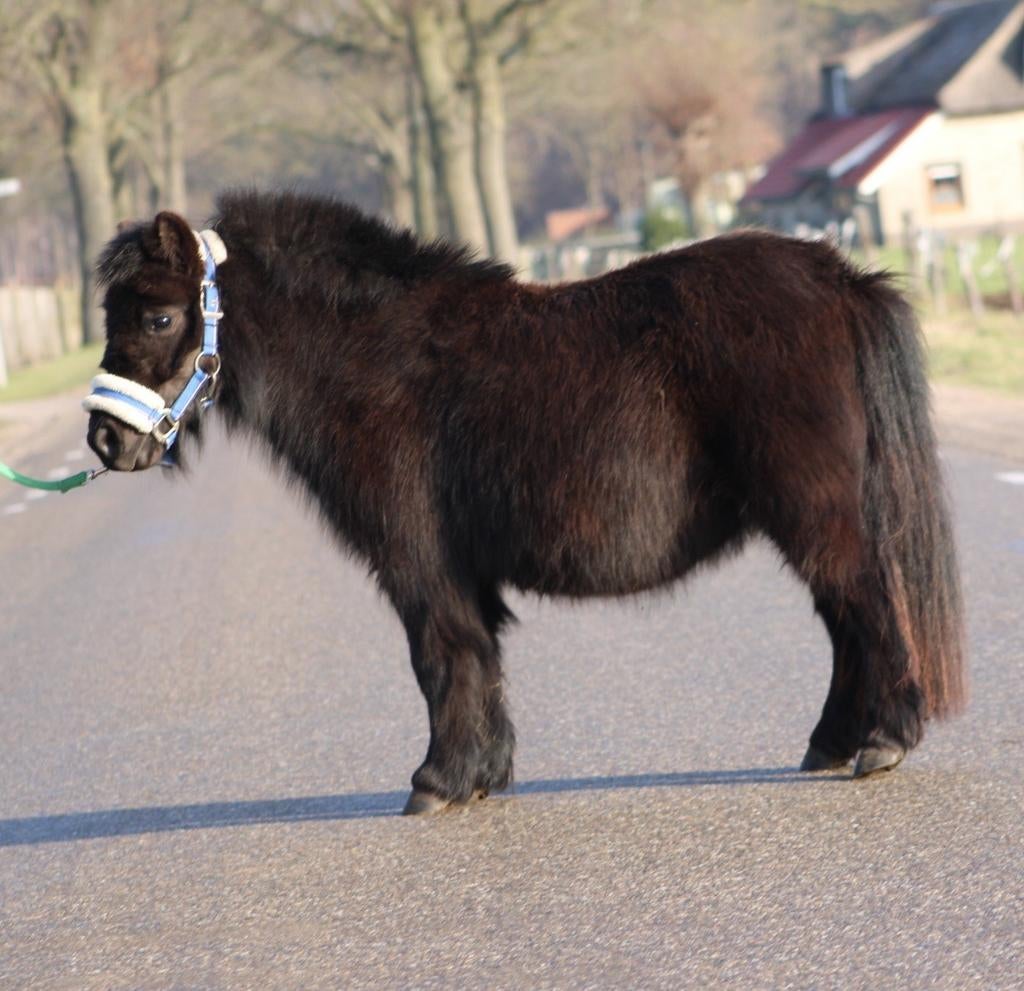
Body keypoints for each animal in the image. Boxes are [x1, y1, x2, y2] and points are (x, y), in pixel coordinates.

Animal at [86, 190, 965, 815]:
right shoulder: (457, 571)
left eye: (158, 314)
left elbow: (442, 657)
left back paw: (884, 739)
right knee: (846, 619)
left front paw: (438, 780)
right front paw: (483, 772)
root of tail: (839, 278)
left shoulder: (421, 563)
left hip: (817, 513)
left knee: (868, 606)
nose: (103, 440)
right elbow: (478, 661)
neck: (375, 361)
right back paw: (832, 743)